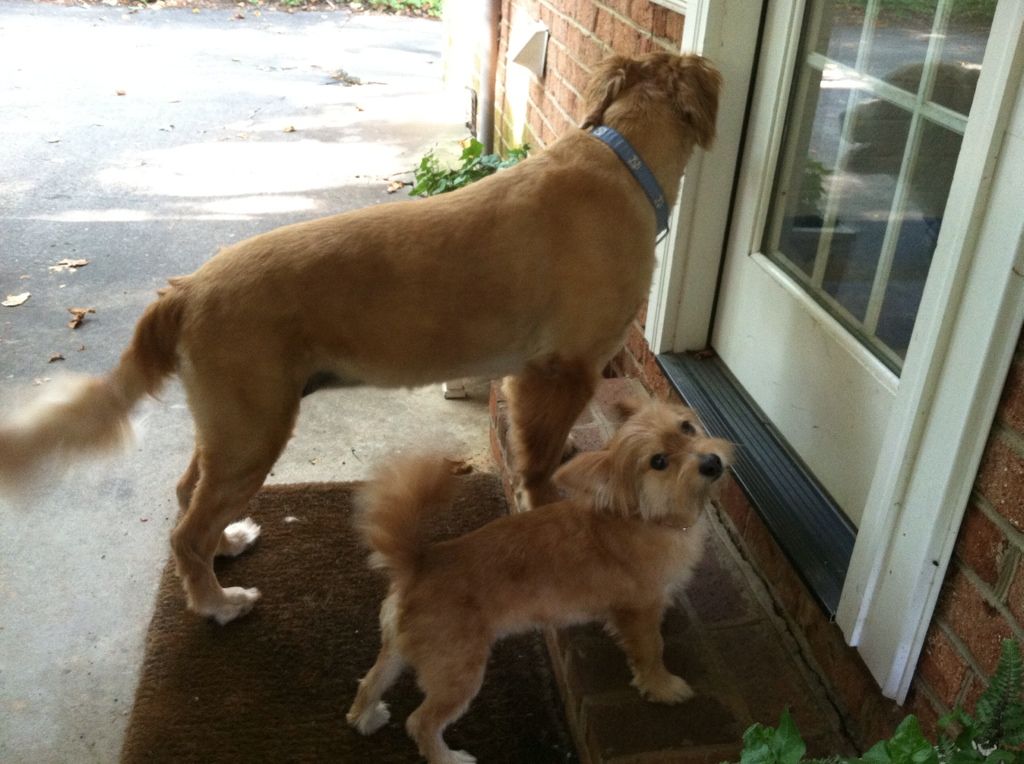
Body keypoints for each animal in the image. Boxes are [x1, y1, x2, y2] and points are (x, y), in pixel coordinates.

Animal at [0, 50, 724, 622]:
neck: (623, 160)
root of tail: (187, 288)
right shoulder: (562, 369)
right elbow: (540, 466)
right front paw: (548, 515)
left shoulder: (528, 374)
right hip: (253, 429)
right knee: (185, 531)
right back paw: (215, 604)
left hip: (231, 427)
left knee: (185, 500)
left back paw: (226, 547)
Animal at [348, 399, 733, 761]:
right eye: (659, 462)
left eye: (687, 428)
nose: (712, 462)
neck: (643, 516)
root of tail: (420, 563)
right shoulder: (639, 611)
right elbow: (652, 651)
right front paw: (663, 686)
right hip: (458, 673)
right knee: (421, 723)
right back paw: (449, 758)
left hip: (399, 650)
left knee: (370, 682)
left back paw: (366, 718)